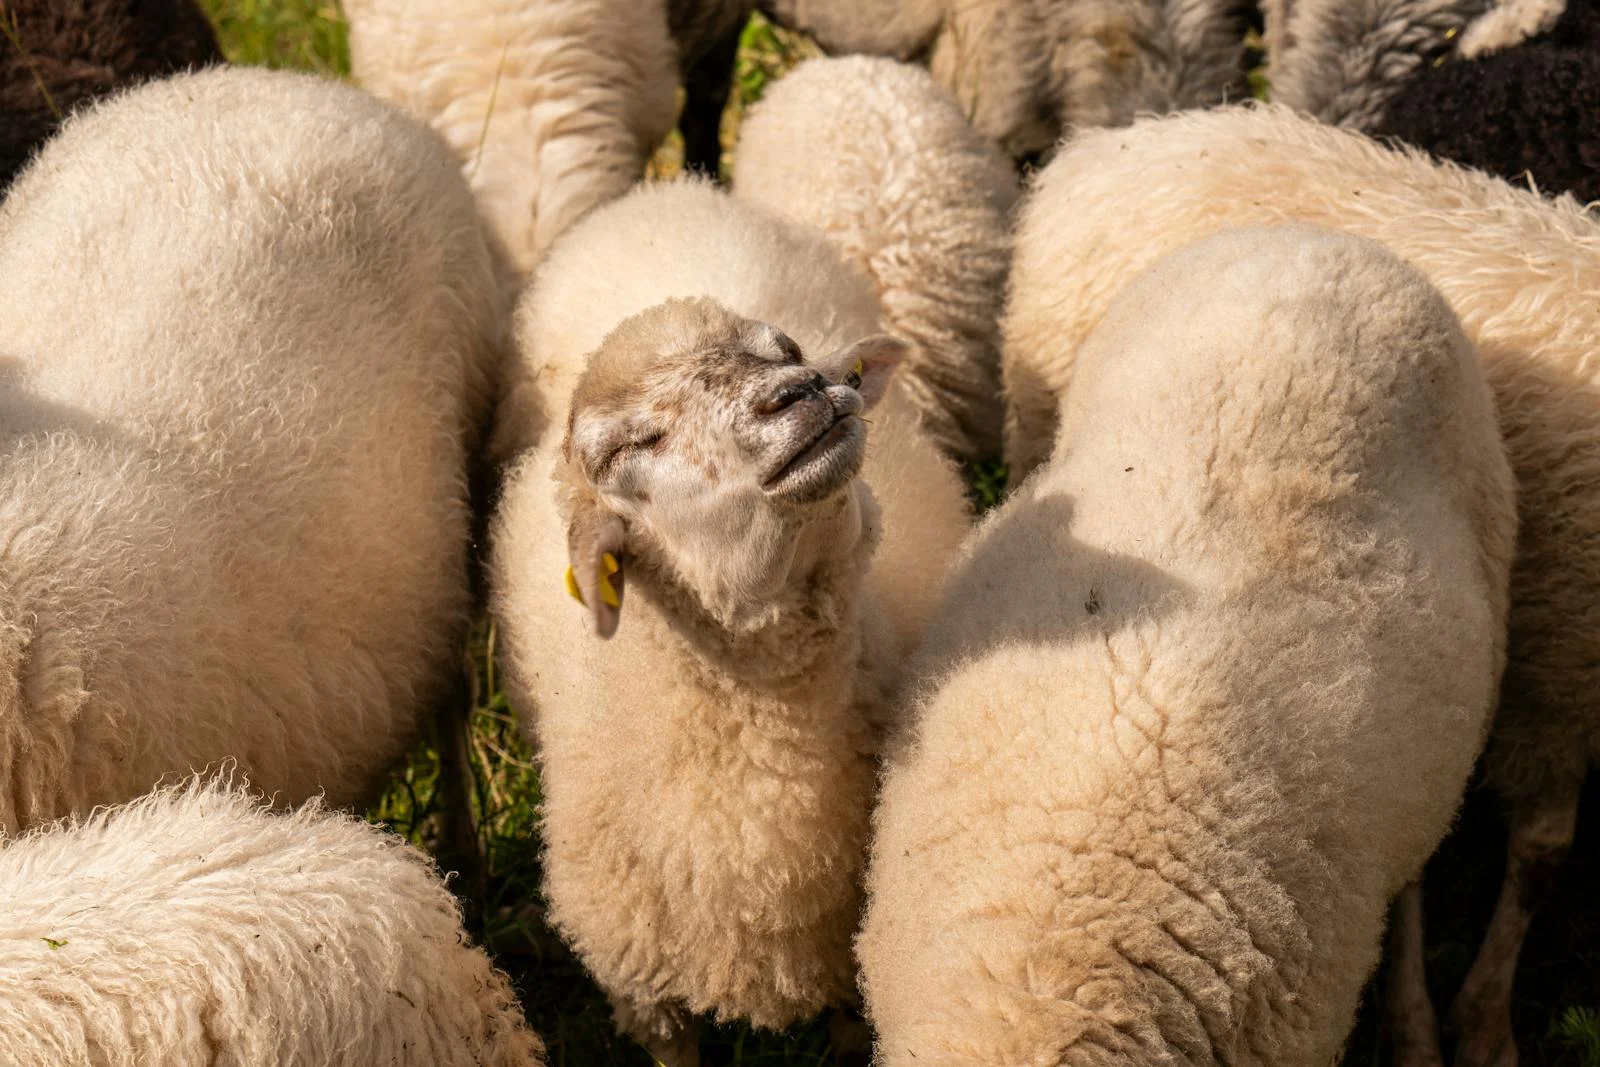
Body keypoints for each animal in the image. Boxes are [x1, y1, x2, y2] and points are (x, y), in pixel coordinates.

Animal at [489, 178, 969, 1067]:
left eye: (785, 348)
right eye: (627, 447)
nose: (802, 391)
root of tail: (665, 192)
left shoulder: (847, 970)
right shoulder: (645, 993)